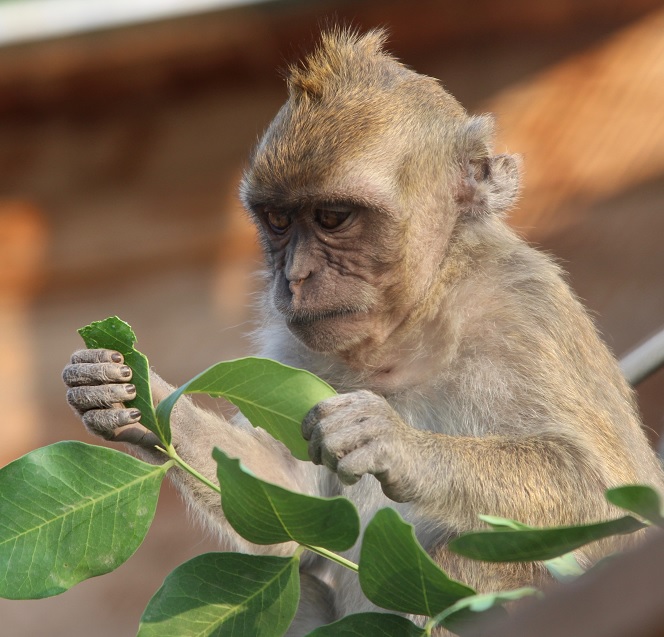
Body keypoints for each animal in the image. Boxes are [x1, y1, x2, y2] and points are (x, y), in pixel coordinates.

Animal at [62, 29, 664, 636]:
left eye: (332, 217)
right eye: (278, 220)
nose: (295, 277)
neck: (412, 325)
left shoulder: (523, 311)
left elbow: (618, 506)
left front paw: (394, 442)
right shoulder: (292, 350)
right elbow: (284, 513)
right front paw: (124, 392)